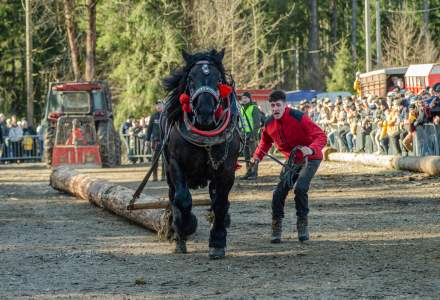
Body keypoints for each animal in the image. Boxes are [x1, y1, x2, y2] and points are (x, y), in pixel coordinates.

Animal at [162, 48, 239, 258]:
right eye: (190, 79)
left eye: (218, 78)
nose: (205, 112)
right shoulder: (175, 164)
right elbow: (182, 199)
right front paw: (185, 226)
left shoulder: (226, 169)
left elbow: (220, 203)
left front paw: (218, 241)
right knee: (173, 196)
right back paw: (177, 233)